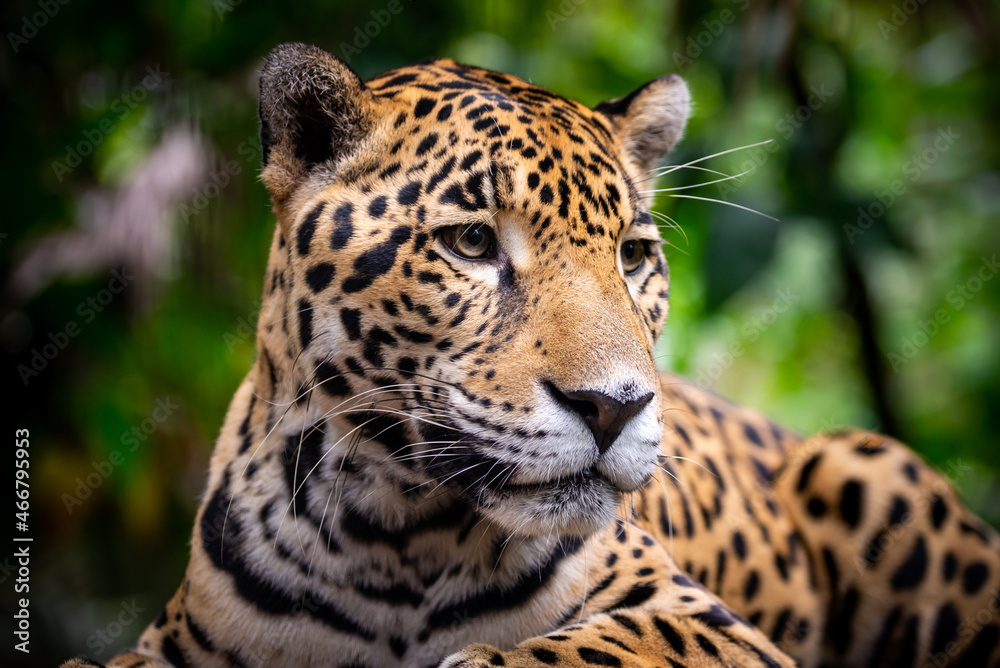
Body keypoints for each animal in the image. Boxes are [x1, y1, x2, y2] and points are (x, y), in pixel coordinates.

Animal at [63, 42, 1000, 668]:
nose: (615, 407)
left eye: (632, 256)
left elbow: (589, 649)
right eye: (473, 243)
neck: (392, 537)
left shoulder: (707, 624)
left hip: (867, 463)